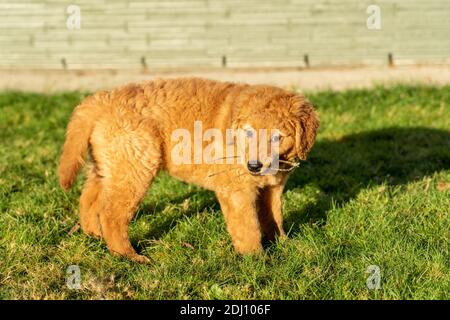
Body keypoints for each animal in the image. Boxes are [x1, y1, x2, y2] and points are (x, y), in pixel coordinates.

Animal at [59, 77, 320, 262]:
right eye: (248, 133)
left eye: (277, 137)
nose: (254, 166)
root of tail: (102, 100)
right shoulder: (236, 190)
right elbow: (248, 226)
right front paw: (256, 258)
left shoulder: (273, 188)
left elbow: (273, 216)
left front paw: (283, 244)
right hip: (135, 165)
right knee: (112, 213)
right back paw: (129, 256)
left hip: (110, 164)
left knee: (90, 198)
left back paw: (94, 235)